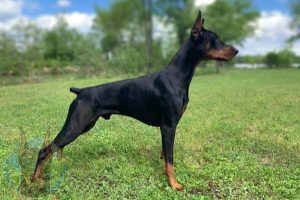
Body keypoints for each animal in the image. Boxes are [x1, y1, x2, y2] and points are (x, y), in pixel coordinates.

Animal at [32, 10, 239, 191]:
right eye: (215, 39)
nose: (236, 50)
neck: (177, 76)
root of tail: (81, 91)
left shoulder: (168, 127)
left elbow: (165, 156)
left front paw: (166, 176)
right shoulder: (169, 125)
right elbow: (170, 159)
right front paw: (174, 184)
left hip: (84, 125)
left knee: (57, 147)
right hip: (76, 125)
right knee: (45, 150)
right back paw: (36, 181)